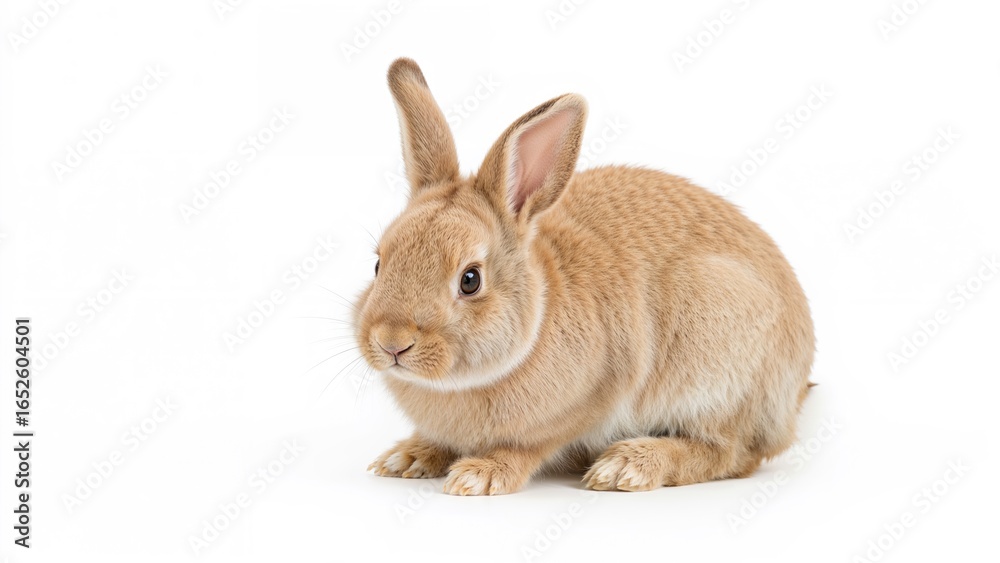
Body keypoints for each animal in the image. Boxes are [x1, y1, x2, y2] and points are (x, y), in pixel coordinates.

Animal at [355, 58, 815, 495]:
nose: (392, 342)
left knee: (728, 452)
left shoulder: (589, 401)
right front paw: (408, 457)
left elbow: (527, 446)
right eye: (378, 264)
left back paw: (627, 465)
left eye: (470, 280)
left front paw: (479, 476)